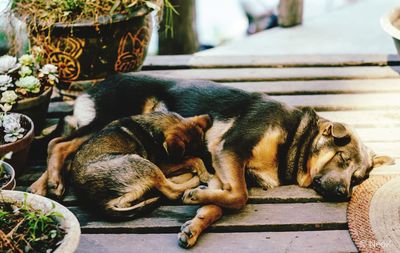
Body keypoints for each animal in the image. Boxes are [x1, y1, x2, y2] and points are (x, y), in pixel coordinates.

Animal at [28, 72, 394, 247]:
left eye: (359, 178)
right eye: (342, 157)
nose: (344, 193)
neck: (295, 137)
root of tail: (93, 88)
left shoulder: (225, 169)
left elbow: (221, 202)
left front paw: (196, 221)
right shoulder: (230, 149)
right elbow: (240, 197)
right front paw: (194, 196)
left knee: (63, 145)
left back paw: (40, 187)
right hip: (108, 117)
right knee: (60, 144)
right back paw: (54, 180)